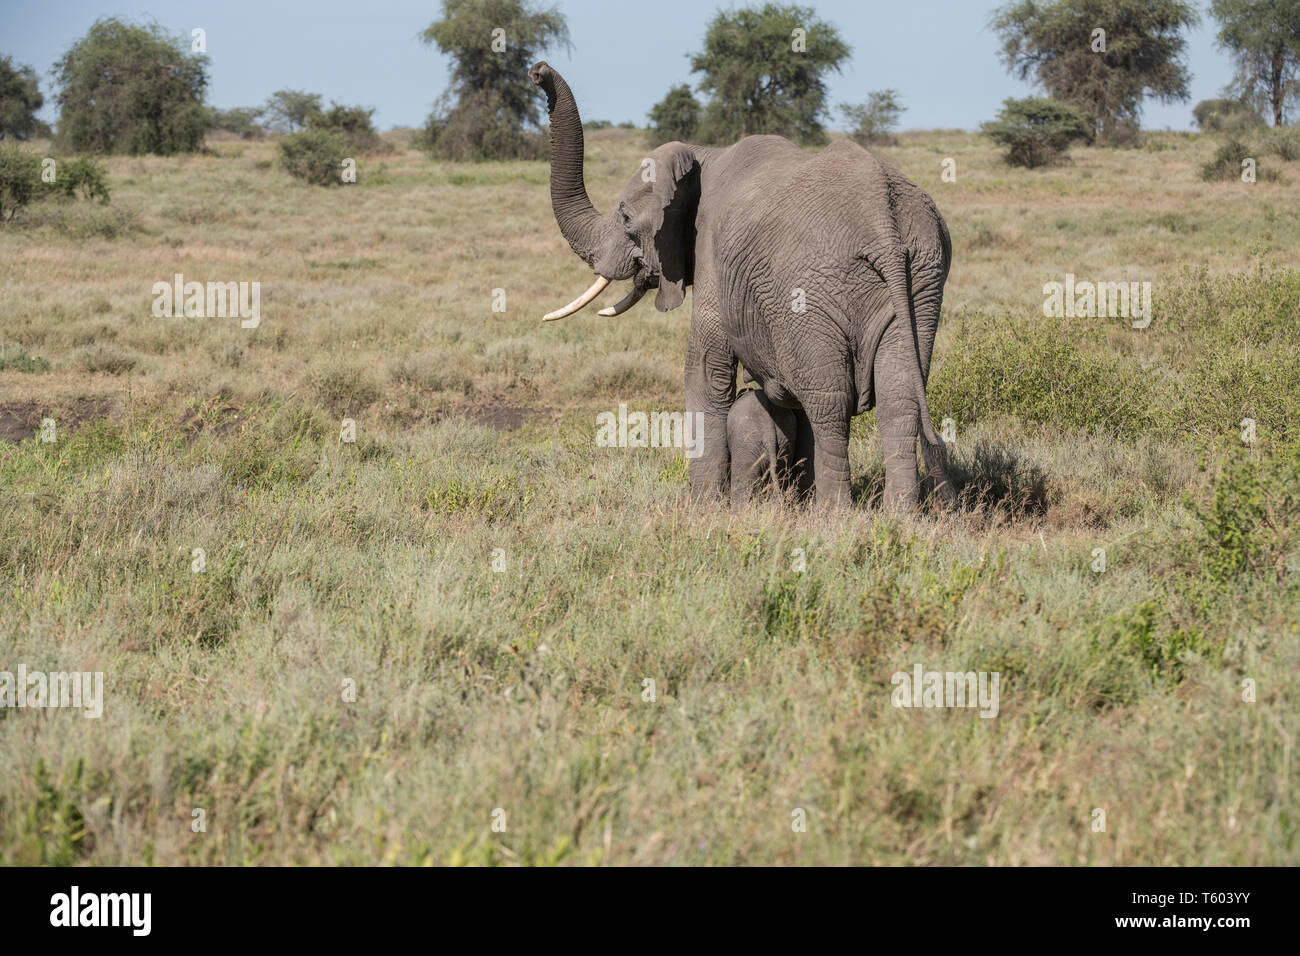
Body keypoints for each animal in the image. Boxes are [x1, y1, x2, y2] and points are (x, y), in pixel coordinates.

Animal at [527, 62, 956, 512]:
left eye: (626, 219)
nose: (538, 71)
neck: (704, 154)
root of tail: (882, 221)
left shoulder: (713, 254)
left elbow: (704, 369)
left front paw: (702, 509)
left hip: (814, 288)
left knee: (829, 400)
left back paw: (833, 516)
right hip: (921, 281)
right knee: (899, 396)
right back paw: (899, 516)